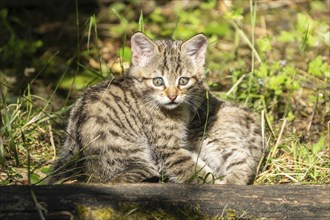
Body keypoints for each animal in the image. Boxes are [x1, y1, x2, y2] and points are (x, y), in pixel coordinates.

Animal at [47, 32, 262, 184]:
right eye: (158, 81)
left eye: (183, 81)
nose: (172, 96)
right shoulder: (167, 150)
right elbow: (193, 171)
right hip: (138, 160)